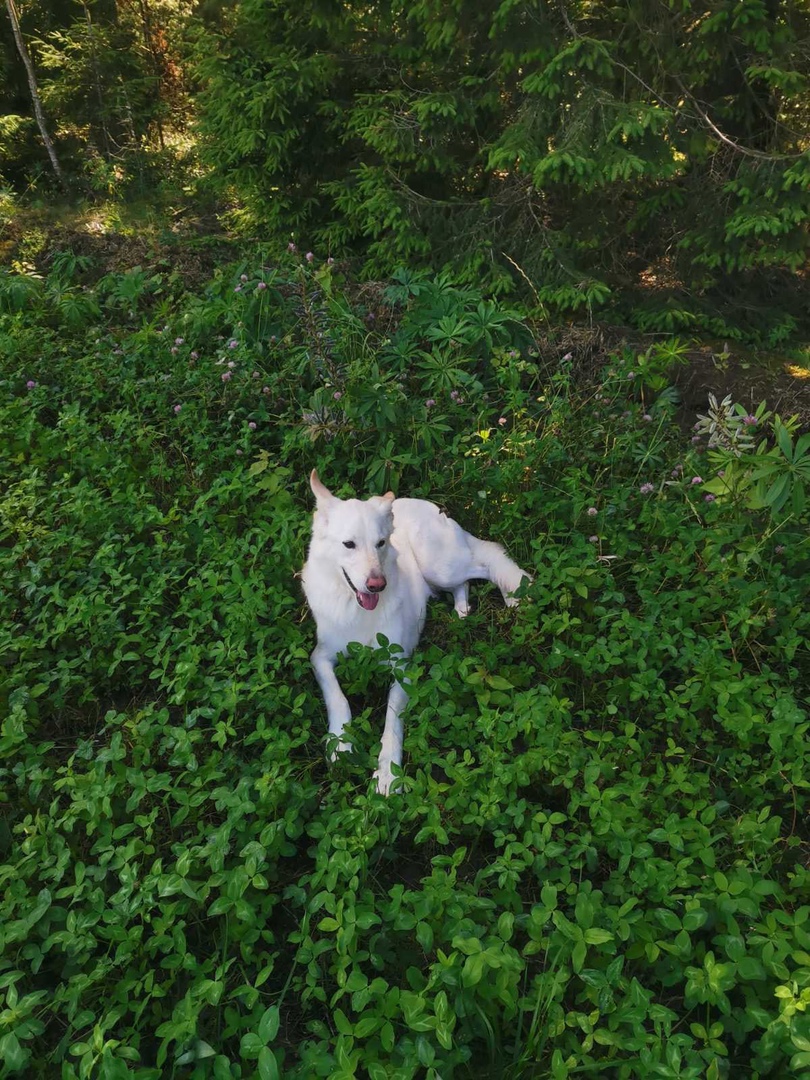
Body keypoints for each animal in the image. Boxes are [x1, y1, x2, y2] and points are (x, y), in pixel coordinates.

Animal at [301, 470, 529, 794]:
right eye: (348, 544)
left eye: (381, 543)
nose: (377, 586)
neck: (359, 610)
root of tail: (429, 506)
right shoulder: (320, 657)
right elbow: (338, 696)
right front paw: (341, 745)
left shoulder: (402, 667)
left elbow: (391, 720)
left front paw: (387, 774)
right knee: (465, 581)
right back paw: (461, 611)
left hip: (441, 567)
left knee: (485, 565)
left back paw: (512, 595)